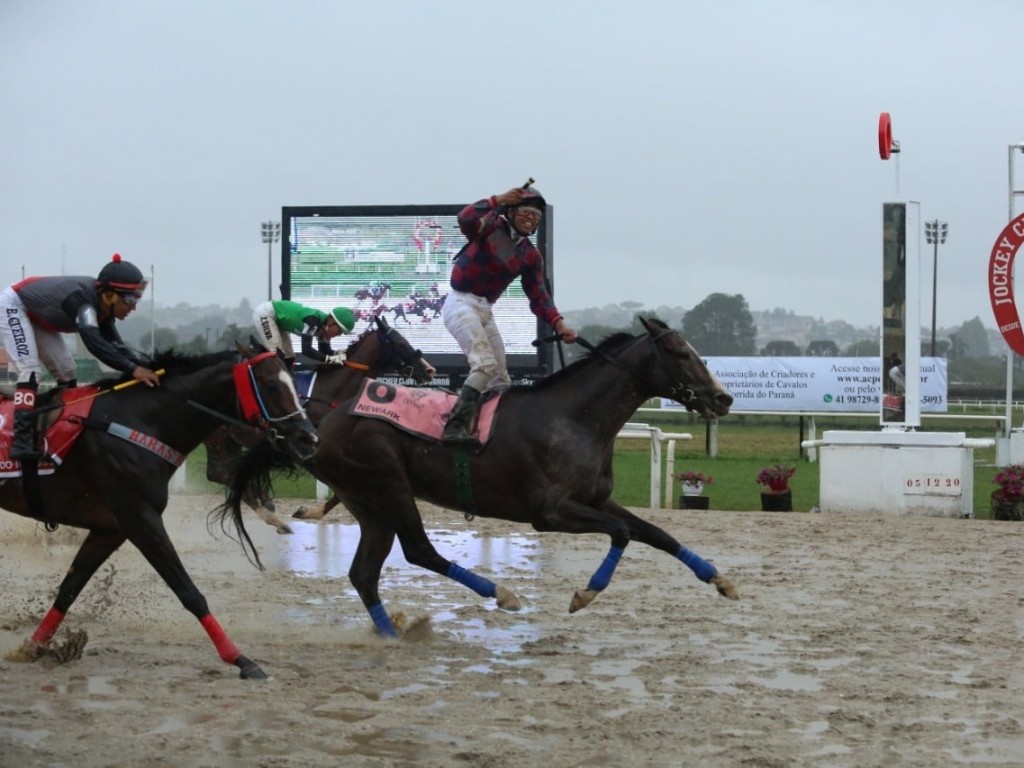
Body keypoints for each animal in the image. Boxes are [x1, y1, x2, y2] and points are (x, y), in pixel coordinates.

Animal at [203, 315, 432, 532]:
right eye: (401, 343)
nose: (429, 370)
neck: (331, 392)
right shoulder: (312, 452)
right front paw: (309, 512)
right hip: (218, 437)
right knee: (222, 473)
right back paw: (272, 515)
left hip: (227, 440)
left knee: (221, 473)